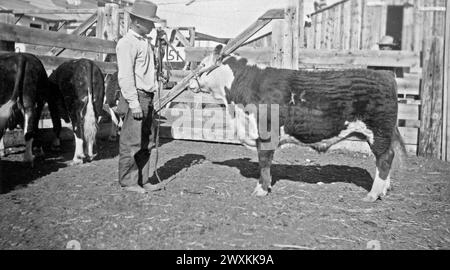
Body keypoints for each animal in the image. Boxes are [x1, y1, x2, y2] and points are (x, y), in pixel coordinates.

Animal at [190, 44, 408, 202]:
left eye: (202, 64)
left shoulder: (266, 133)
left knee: (385, 159)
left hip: (379, 132)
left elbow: (264, 163)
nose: (190, 82)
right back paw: (383, 190)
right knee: (385, 158)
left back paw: (372, 195)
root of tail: (386, 75)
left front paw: (261, 190)